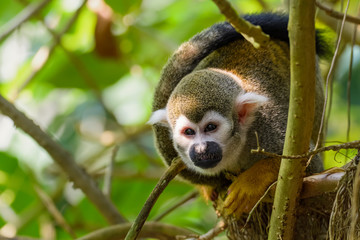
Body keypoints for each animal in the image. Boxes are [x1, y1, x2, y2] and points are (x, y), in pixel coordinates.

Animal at [148, 12, 328, 218]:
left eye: (211, 127)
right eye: (189, 132)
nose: (201, 149)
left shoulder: (270, 126)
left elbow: (306, 165)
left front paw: (252, 181)